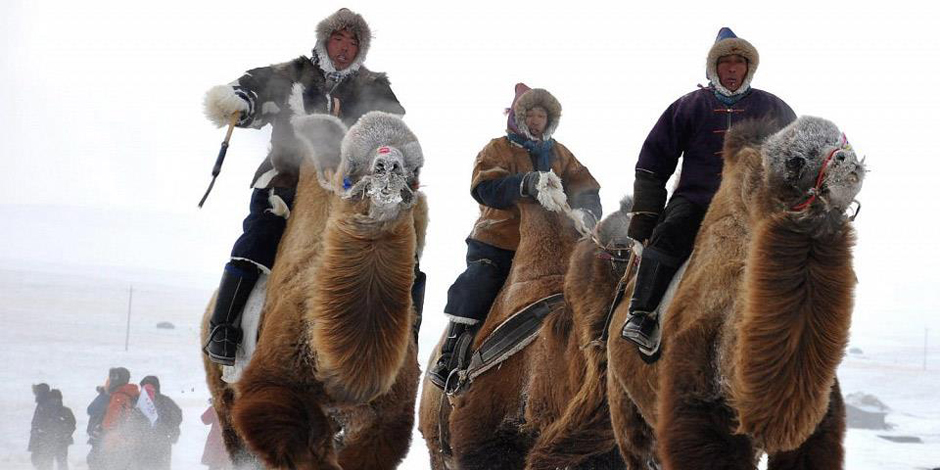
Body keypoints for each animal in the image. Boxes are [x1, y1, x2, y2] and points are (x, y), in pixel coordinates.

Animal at [204, 111, 432, 470]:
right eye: (350, 169)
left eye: (416, 172)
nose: (388, 166)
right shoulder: (266, 384)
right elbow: (296, 434)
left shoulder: (392, 413)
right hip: (222, 394)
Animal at [604, 114, 864, 470]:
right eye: (795, 161)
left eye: (842, 139)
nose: (845, 159)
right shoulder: (694, 413)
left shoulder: (818, 427)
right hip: (624, 404)